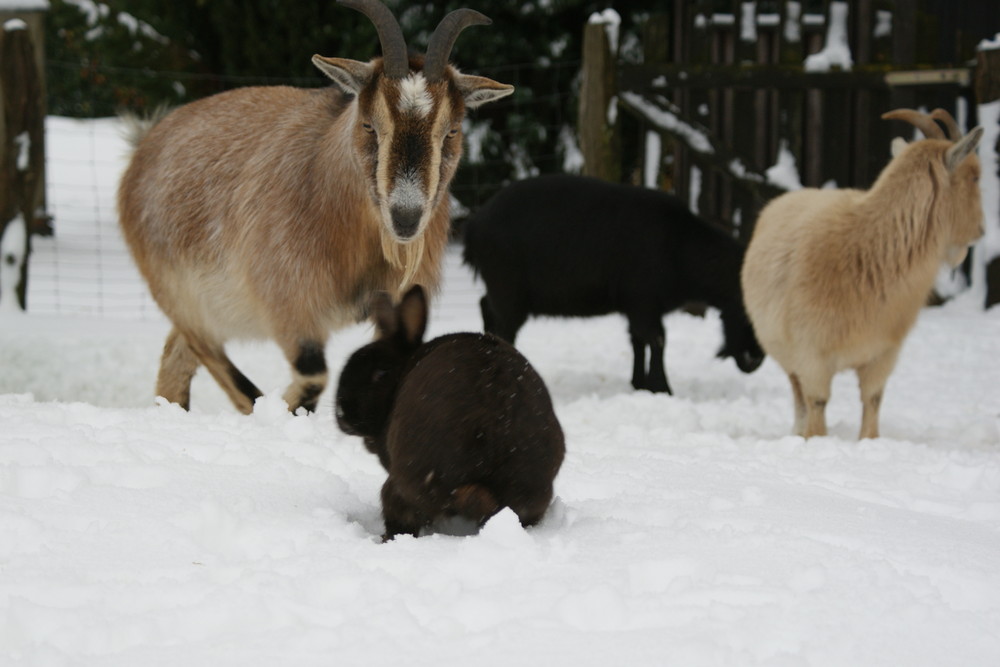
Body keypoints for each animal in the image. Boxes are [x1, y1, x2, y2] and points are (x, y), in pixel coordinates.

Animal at [116, 0, 512, 414]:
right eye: (369, 124)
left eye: (451, 130)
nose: (406, 217)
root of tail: (144, 146)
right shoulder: (291, 304)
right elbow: (312, 377)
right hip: (178, 293)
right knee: (206, 351)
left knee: (176, 358)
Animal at [462, 174, 764, 396]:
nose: (756, 360)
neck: (680, 245)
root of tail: (474, 225)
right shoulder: (644, 302)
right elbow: (657, 339)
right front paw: (662, 388)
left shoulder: (637, 305)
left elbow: (638, 340)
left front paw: (640, 383)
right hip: (508, 292)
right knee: (504, 329)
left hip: (500, 291)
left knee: (485, 308)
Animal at [744, 109, 984, 440]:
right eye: (975, 176)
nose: (981, 229)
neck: (869, 248)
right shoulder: (811, 355)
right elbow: (816, 405)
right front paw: (814, 441)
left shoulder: (882, 354)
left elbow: (873, 401)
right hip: (784, 352)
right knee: (799, 397)